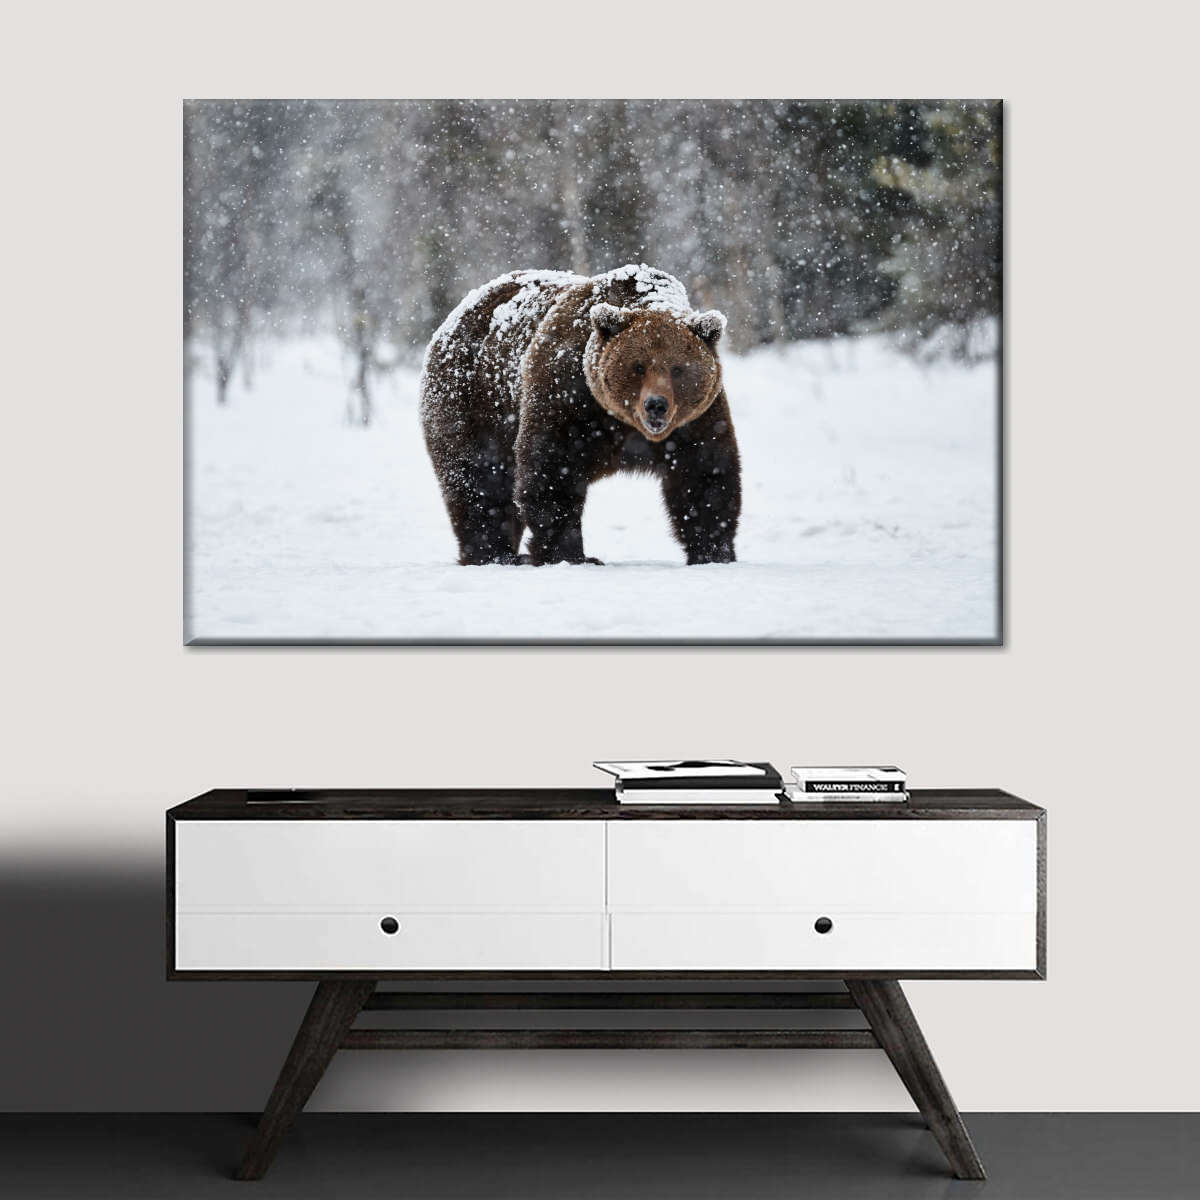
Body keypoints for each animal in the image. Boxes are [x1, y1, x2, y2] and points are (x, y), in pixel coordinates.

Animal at [419, 264, 741, 566]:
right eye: (638, 366)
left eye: (677, 369)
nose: (656, 405)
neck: (622, 423)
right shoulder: (567, 395)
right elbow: (551, 472)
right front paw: (569, 554)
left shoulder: (695, 421)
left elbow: (704, 476)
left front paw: (714, 552)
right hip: (474, 402)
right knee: (480, 481)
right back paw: (494, 554)